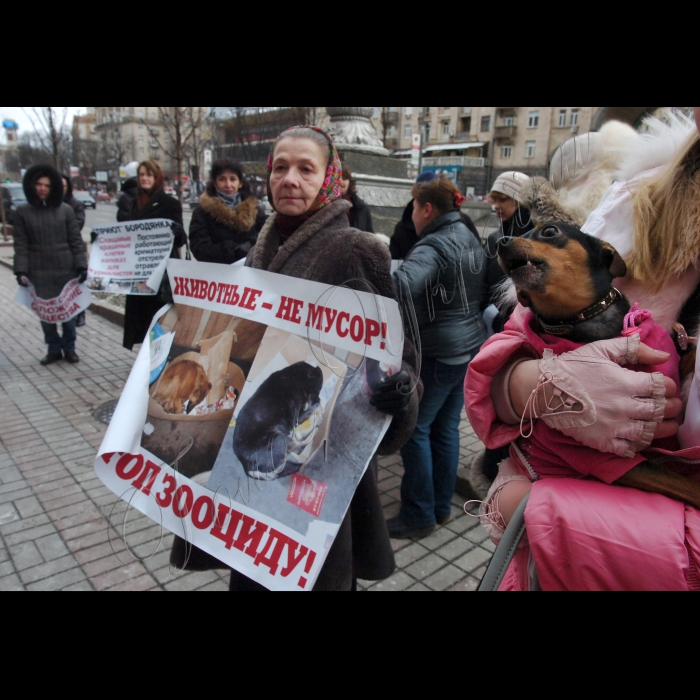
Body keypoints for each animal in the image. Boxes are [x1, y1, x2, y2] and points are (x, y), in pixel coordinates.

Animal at [498, 223, 700, 508]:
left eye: (549, 231)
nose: (499, 241)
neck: (584, 319)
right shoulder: (613, 457)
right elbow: (684, 485)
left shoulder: (670, 366)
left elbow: (688, 358)